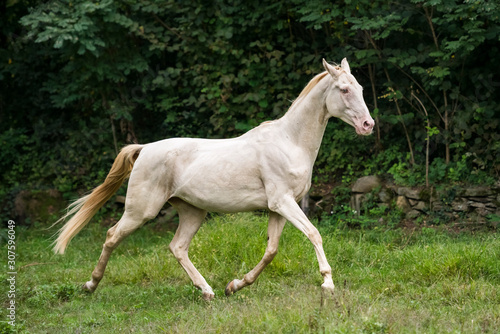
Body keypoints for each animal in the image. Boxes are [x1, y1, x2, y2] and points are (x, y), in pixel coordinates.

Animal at [54, 58, 376, 302]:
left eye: (360, 88)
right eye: (344, 89)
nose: (368, 125)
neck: (289, 141)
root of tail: (144, 148)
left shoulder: (279, 208)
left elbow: (271, 251)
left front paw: (235, 285)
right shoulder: (283, 202)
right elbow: (314, 234)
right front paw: (327, 283)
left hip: (192, 211)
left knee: (177, 247)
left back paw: (208, 291)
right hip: (141, 211)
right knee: (112, 236)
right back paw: (90, 285)